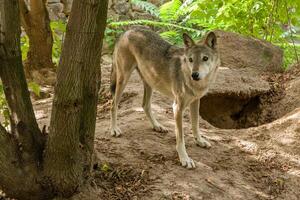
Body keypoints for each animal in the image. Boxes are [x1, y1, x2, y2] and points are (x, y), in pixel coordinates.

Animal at [110, 28, 220, 168]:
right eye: (190, 60)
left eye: (205, 58)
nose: (194, 74)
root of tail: (127, 30)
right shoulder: (177, 108)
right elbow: (181, 138)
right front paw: (185, 159)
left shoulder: (195, 101)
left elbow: (196, 125)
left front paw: (199, 141)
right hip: (123, 79)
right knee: (113, 104)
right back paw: (114, 129)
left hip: (150, 81)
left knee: (145, 105)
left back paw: (157, 126)